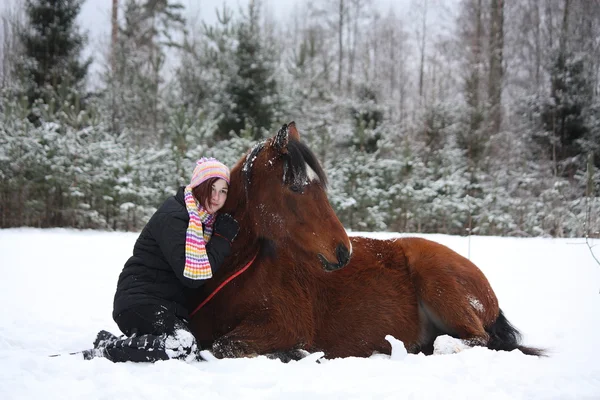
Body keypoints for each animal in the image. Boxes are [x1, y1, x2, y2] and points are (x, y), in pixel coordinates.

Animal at [188, 122, 544, 360]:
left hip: (441, 285)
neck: (238, 270)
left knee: (474, 340)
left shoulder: (283, 325)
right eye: (297, 187)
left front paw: (297, 354)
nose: (343, 251)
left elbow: (223, 346)